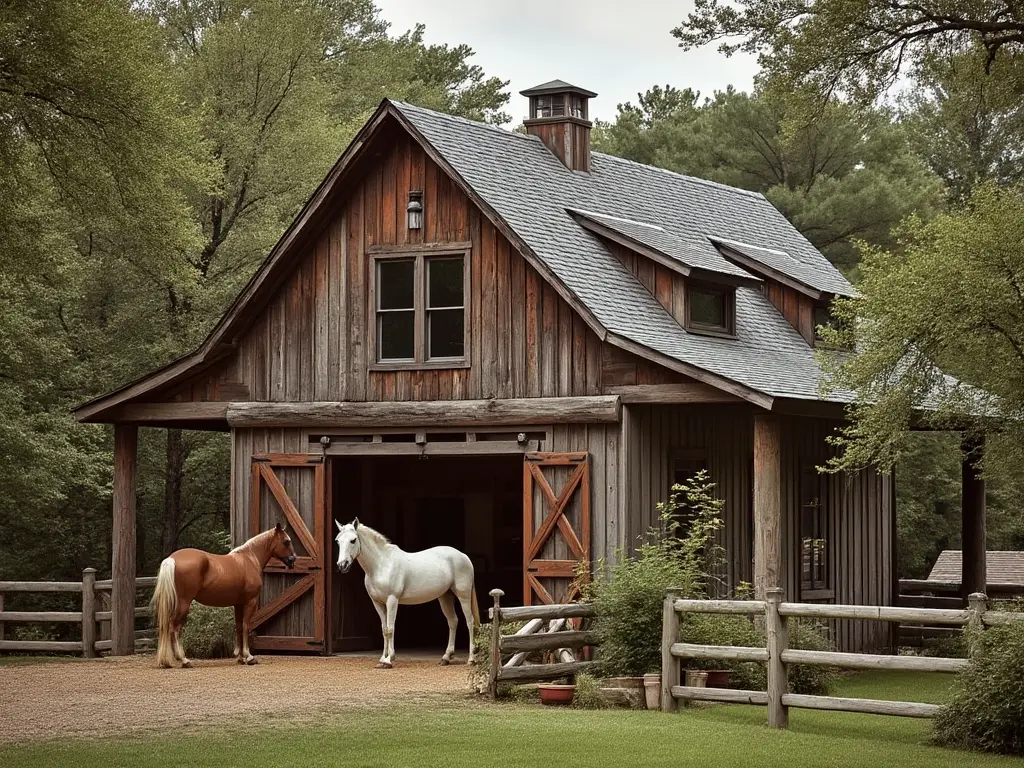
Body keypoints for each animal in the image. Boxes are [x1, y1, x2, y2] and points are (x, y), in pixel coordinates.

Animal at [151, 528, 296, 671]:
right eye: (286, 541)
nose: (293, 560)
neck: (249, 559)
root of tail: (172, 559)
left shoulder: (238, 604)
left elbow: (239, 626)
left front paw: (241, 658)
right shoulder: (250, 602)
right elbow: (246, 626)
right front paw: (249, 657)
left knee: (166, 627)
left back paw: (167, 661)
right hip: (184, 603)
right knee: (174, 628)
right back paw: (184, 660)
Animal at [335, 520, 479, 671]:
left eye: (353, 540)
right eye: (337, 541)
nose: (342, 565)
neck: (382, 565)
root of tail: (464, 556)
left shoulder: (392, 600)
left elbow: (390, 628)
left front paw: (389, 660)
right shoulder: (377, 603)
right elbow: (384, 629)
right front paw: (382, 659)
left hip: (463, 596)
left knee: (470, 622)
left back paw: (471, 659)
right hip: (445, 596)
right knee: (453, 621)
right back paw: (446, 657)